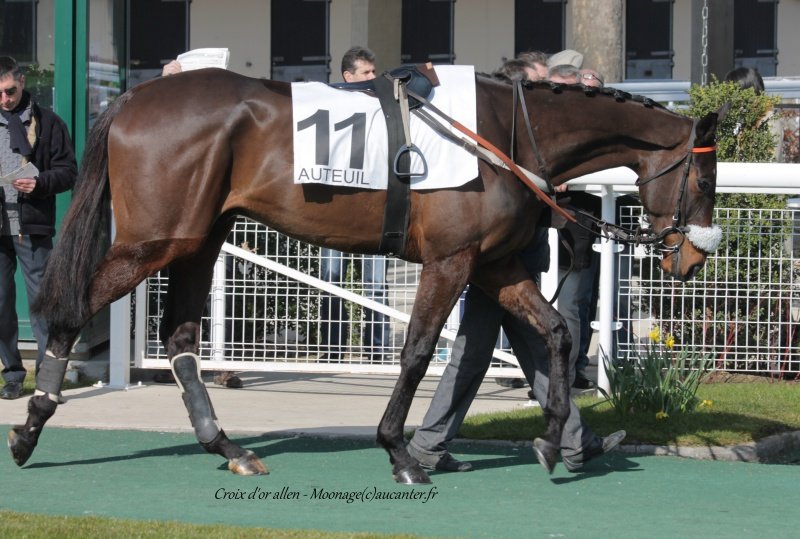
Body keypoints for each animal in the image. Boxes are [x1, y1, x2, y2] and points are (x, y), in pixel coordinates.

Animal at [8, 68, 724, 484]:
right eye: (704, 178)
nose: (692, 259)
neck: (505, 135)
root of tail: (133, 95)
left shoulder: (493, 262)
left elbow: (556, 332)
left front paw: (557, 441)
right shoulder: (452, 260)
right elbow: (418, 353)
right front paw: (401, 452)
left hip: (199, 236)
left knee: (181, 340)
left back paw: (228, 446)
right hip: (156, 240)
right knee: (70, 312)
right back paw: (30, 426)